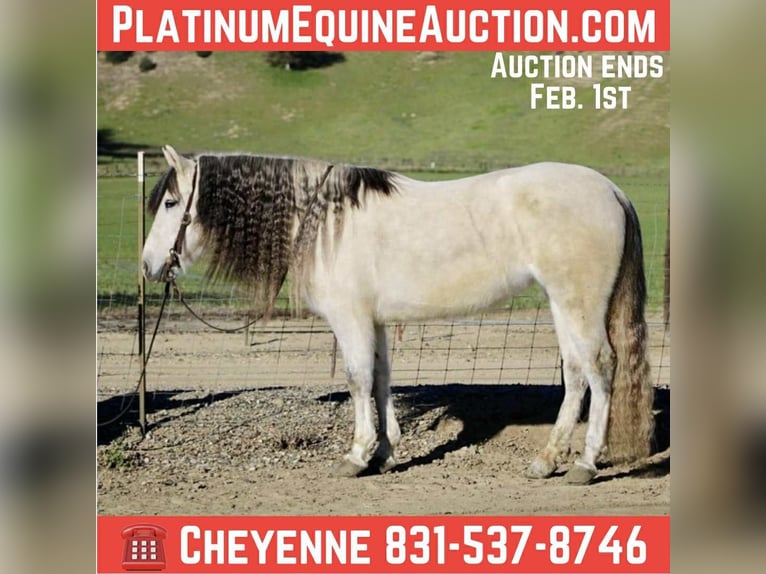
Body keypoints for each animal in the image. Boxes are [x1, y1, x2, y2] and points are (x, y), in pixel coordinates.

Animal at [142, 145, 654, 485]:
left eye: (170, 202)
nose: (147, 266)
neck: (323, 219)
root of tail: (611, 190)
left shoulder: (350, 319)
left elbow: (357, 380)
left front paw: (357, 455)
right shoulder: (376, 321)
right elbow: (382, 378)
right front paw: (386, 453)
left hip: (578, 301)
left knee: (600, 366)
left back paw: (585, 464)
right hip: (562, 302)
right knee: (576, 371)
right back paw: (547, 460)